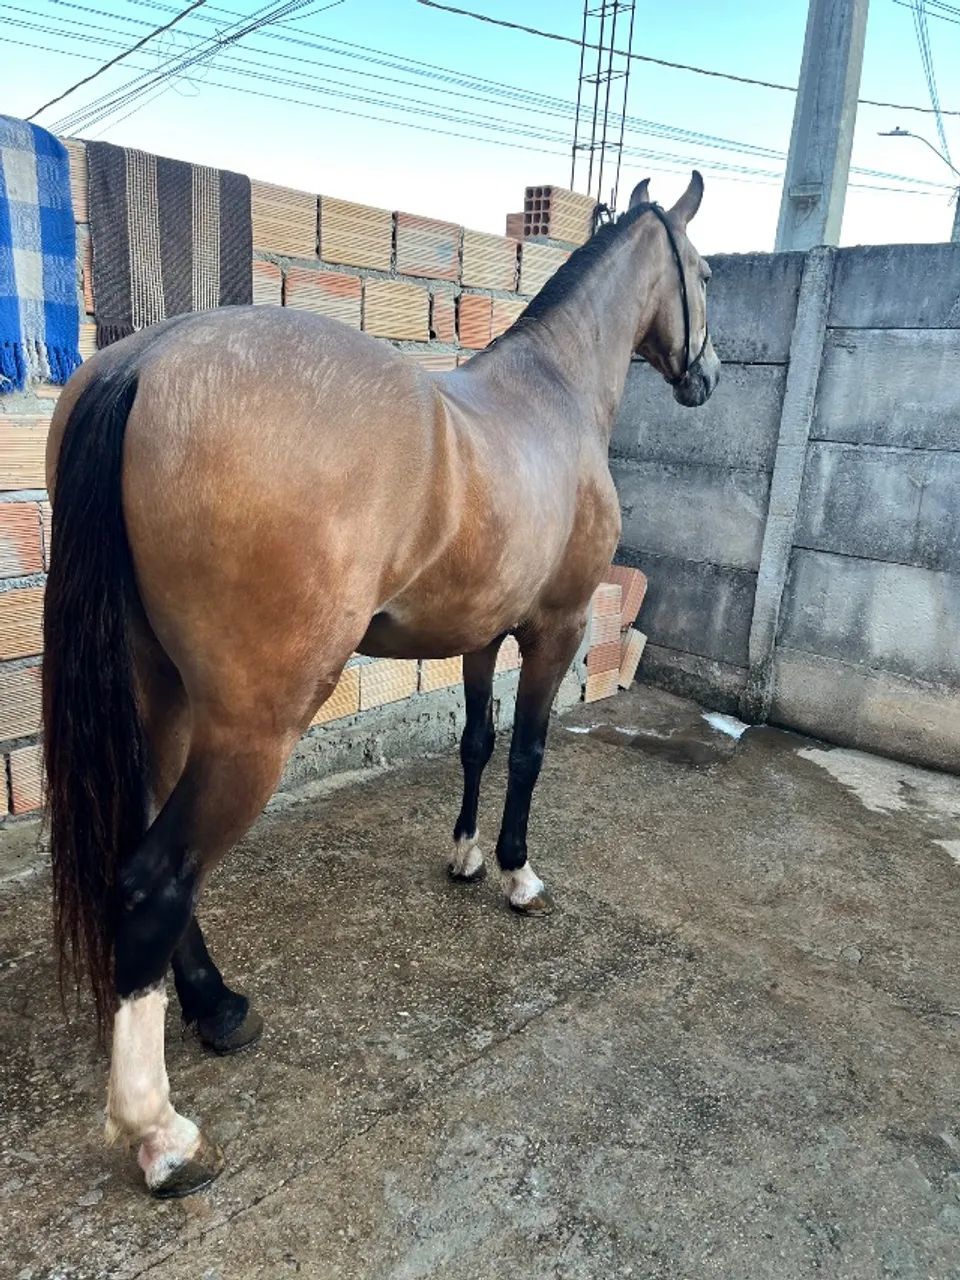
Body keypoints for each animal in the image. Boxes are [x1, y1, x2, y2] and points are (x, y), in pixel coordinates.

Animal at [42, 172, 719, 1198]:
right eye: (707, 272)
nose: (707, 378)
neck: (553, 394)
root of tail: (148, 361)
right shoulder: (555, 629)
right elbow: (528, 750)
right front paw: (516, 873)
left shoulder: (481, 636)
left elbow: (477, 742)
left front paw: (465, 856)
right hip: (251, 730)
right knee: (157, 879)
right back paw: (162, 1135)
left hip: (163, 700)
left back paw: (217, 1008)